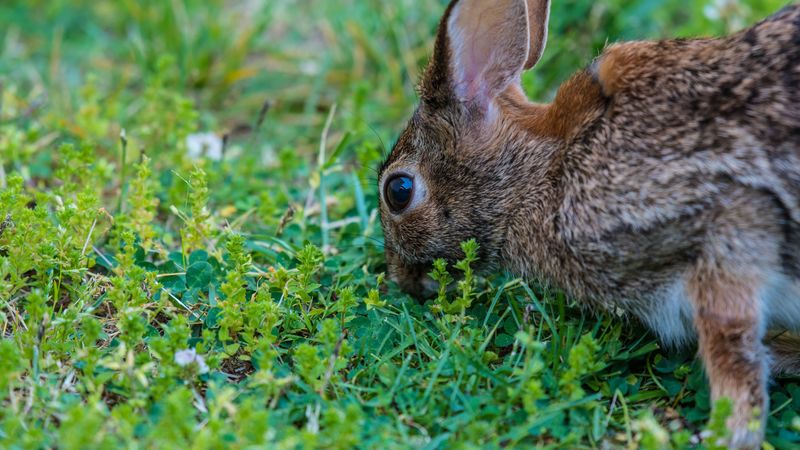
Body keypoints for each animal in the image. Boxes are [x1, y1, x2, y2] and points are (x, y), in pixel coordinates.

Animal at [377, 0, 800, 448]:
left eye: (399, 190)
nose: (401, 280)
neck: (545, 169)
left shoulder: (729, 227)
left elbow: (733, 356)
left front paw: (729, 434)